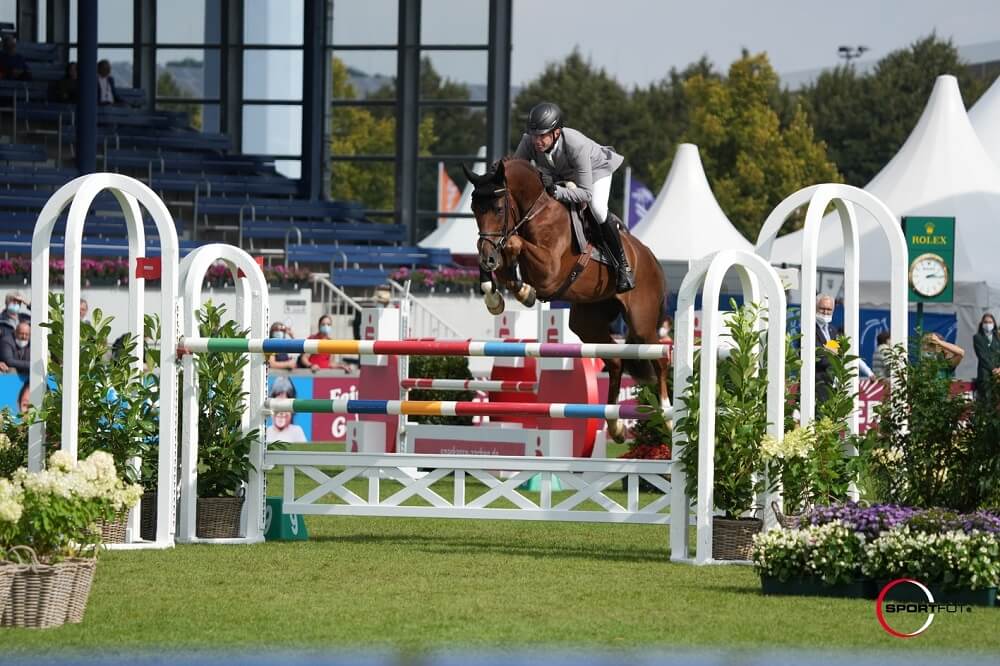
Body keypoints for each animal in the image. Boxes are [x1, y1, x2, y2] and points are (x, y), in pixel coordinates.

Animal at [464, 155, 668, 436]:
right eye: (474, 209)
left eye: (498, 208)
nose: (487, 258)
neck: (535, 210)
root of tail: (651, 258)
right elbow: (506, 267)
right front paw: (499, 297)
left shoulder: (549, 270)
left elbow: (515, 243)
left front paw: (524, 291)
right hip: (587, 322)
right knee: (616, 360)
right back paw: (615, 425)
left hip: (642, 324)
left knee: (660, 359)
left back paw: (667, 415)